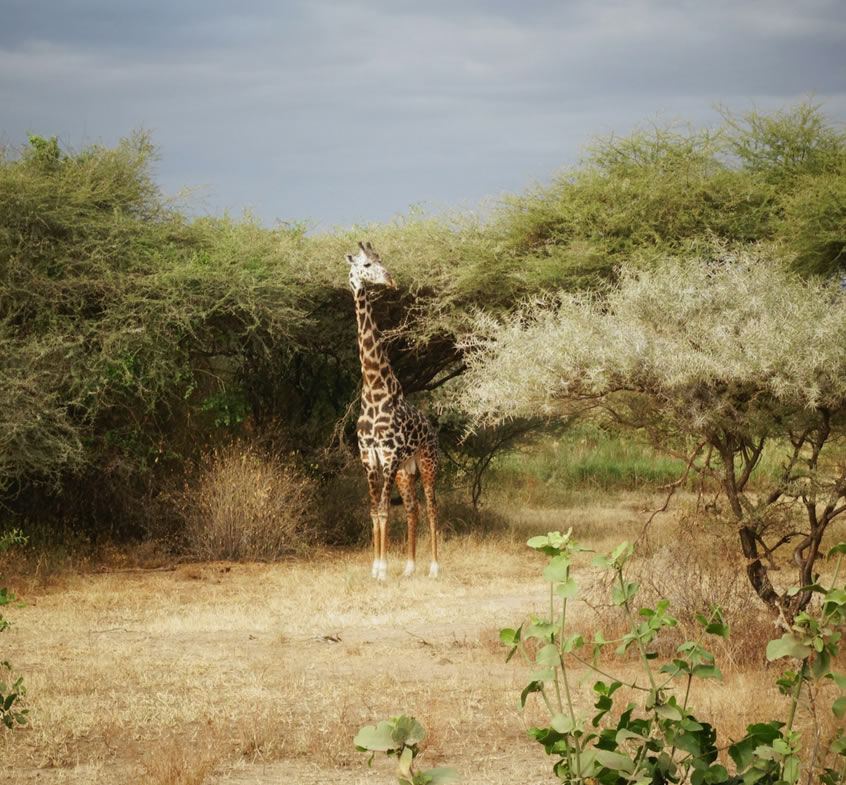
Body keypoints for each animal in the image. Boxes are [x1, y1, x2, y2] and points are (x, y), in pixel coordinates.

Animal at [344, 242, 440, 580]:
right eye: (366, 265)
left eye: (382, 261)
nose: (390, 280)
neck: (374, 390)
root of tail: (433, 427)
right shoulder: (369, 458)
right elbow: (375, 511)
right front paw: (375, 567)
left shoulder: (387, 456)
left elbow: (385, 511)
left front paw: (383, 569)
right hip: (404, 470)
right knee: (412, 507)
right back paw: (410, 567)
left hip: (427, 463)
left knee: (431, 506)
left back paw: (434, 567)